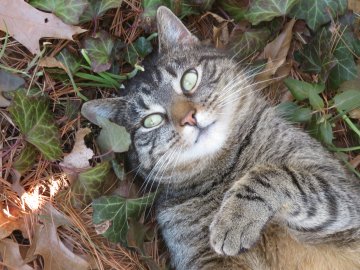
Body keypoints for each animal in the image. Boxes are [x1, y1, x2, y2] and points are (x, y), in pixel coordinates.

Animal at [81, 6, 360, 270]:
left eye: (189, 79)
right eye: (151, 121)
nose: (189, 118)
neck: (226, 172)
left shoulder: (343, 194)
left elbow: (275, 175)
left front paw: (237, 217)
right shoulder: (200, 256)